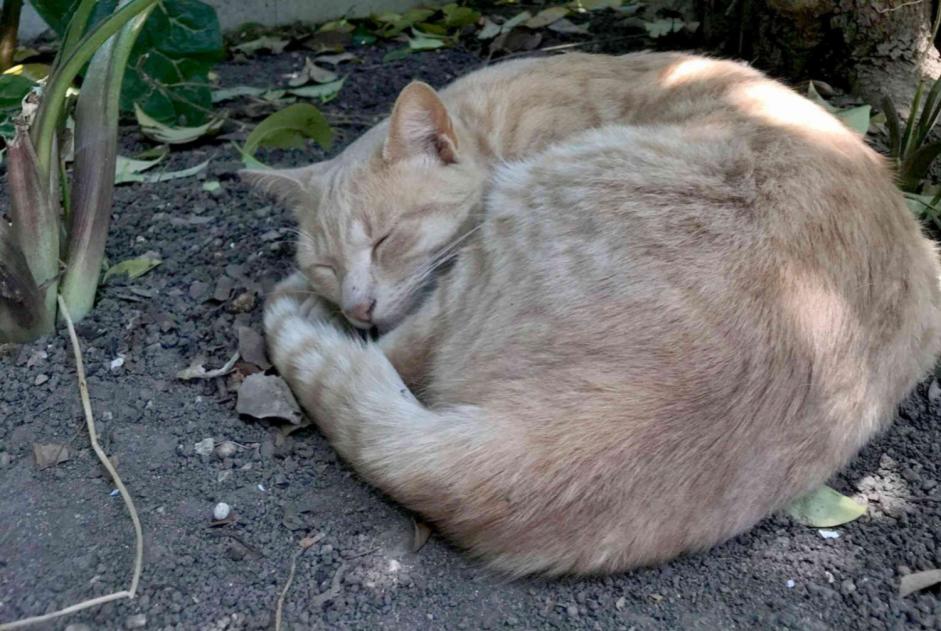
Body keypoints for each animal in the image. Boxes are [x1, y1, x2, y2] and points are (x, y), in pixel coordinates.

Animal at [244, 51, 940, 576]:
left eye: (386, 240)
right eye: (327, 263)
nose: (356, 305)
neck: (499, 119)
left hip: (513, 215)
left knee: (393, 355)